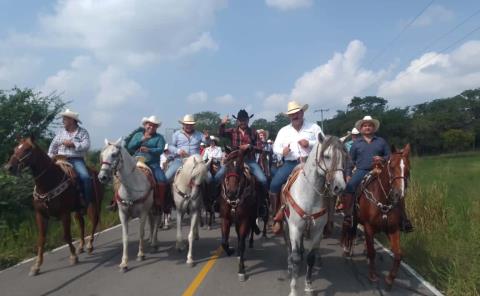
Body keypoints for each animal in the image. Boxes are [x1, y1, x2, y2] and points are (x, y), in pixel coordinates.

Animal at [3, 136, 103, 276]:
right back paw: (81, 246)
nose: (9, 167)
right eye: (15, 149)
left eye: (27, 149)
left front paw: (73, 257)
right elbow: (41, 239)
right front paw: (36, 266)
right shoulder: (41, 215)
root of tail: (96, 172)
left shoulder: (64, 213)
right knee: (81, 224)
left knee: (94, 221)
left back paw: (89, 245)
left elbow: (66, 235)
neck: (48, 183)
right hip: (77, 210)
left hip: (94, 204)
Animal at [97, 138, 158, 272]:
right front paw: (124, 263)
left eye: (114, 154)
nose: (102, 177)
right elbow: (125, 238)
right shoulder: (123, 214)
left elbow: (141, 233)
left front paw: (141, 254)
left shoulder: (143, 213)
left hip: (153, 208)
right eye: (102, 155)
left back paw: (154, 242)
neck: (131, 189)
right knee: (152, 222)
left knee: (155, 222)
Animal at [219, 149, 260, 280]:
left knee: (249, 232)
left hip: (251, 217)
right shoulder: (225, 219)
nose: (231, 193)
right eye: (227, 166)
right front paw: (231, 251)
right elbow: (224, 242)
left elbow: (242, 243)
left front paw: (241, 270)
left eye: (240, 167)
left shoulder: (244, 220)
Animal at [282, 135, 348, 296]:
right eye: (327, 156)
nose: (340, 187)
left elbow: (310, 257)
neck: (309, 195)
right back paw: (289, 265)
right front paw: (293, 289)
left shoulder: (317, 231)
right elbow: (295, 258)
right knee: (289, 247)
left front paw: (308, 285)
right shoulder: (295, 228)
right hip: (286, 225)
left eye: (344, 157)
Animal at [342, 143, 412, 290]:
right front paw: (372, 276)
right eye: (392, 167)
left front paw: (390, 279)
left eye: (408, 168)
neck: (383, 200)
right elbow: (372, 252)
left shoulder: (393, 228)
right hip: (350, 218)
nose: (398, 194)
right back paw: (346, 250)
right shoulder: (369, 227)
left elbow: (398, 255)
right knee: (348, 229)